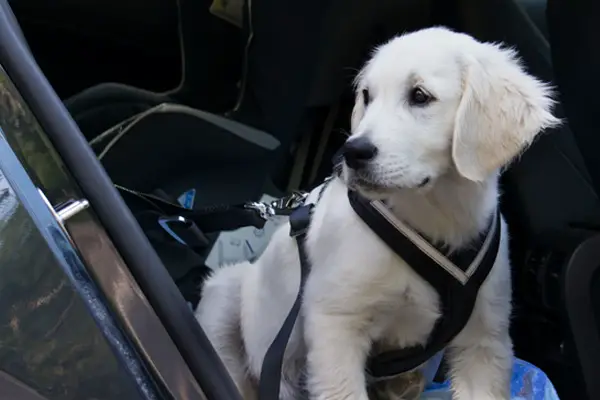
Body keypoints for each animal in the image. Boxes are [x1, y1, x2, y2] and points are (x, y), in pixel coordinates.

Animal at [196, 26, 556, 398]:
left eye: (420, 96)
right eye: (367, 96)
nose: (351, 152)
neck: (435, 214)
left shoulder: (485, 338)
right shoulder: (335, 322)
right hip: (226, 291)